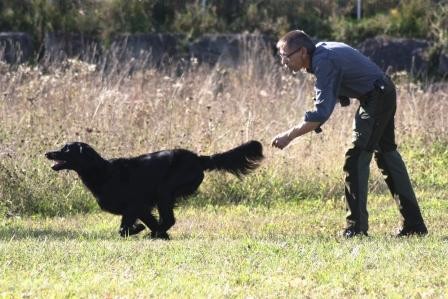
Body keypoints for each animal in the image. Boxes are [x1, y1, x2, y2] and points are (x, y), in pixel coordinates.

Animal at [45, 142, 262, 240]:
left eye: (66, 149)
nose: (47, 153)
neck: (102, 172)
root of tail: (198, 158)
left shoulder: (134, 205)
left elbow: (124, 229)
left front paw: (140, 230)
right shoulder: (139, 208)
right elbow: (146, 221)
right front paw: (156, 233)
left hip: (164, 192)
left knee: (170, 219)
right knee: (167, 220)